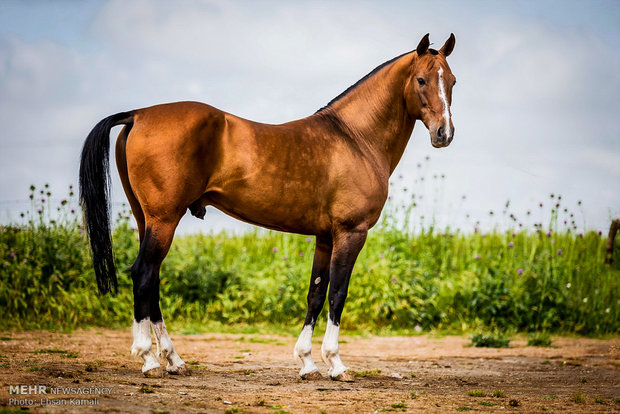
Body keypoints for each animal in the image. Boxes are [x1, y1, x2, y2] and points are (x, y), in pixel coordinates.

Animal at [78, 33, 456, 382]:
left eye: (452, 81)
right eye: (421, 80)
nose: (444, 133)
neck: (354, 138)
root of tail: (138, 115)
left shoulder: (324, 237)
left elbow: (315, 293)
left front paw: (307, 363)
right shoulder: (351, 233)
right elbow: (338, 293)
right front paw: (336, 364)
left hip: (148, 221)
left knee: (152, 279)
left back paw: (174, 359)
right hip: (164, 220)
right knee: (143, 274)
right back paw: (150, 359)